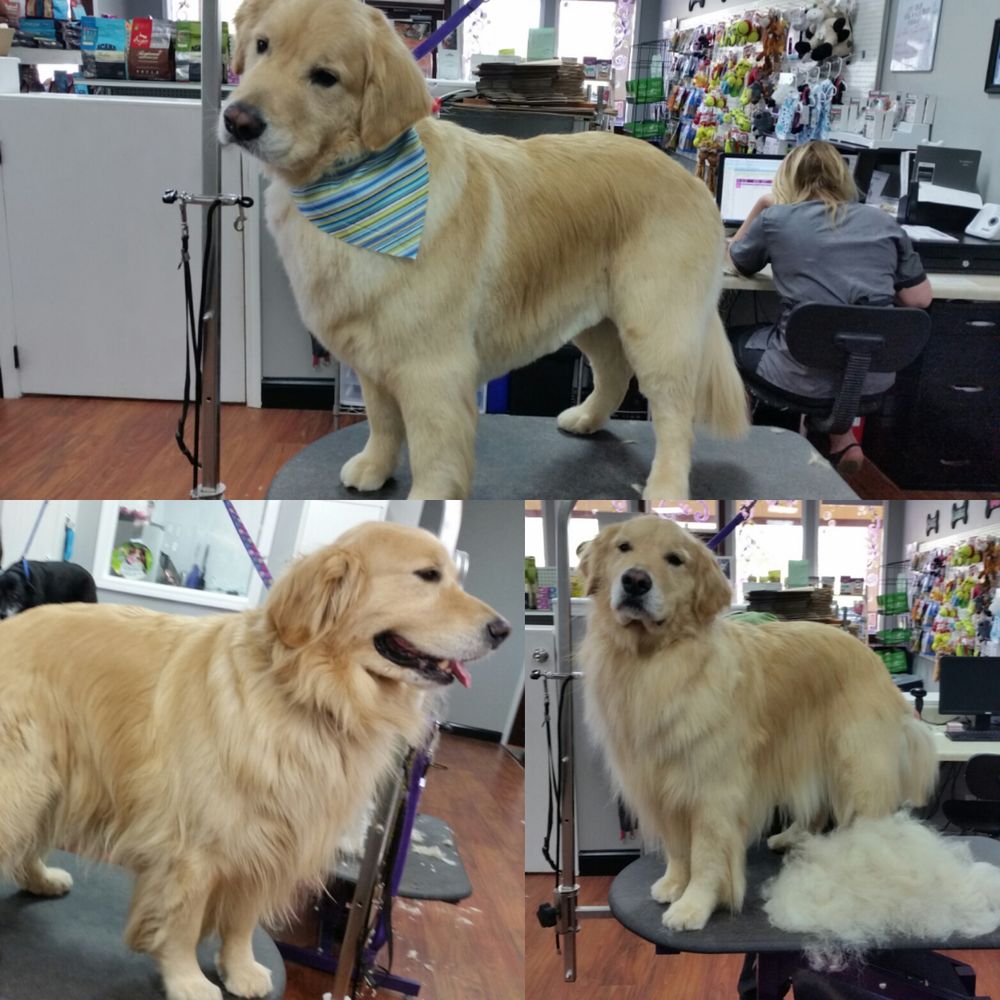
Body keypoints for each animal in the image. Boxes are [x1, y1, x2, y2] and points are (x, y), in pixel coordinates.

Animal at [0, 522, 510, 1000]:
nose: (503, 631)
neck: (308, 690)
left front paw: (239, 969)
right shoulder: (194, 846)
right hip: (23, 783)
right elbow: (183, 922)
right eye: (427, 576)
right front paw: (187, 980)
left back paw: (41, 879)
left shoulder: (271, 841)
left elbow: (242, 920)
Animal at [219, 0, 748, 500]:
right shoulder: (372, 352)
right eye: (262, 46)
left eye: (325, 77)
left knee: (675, 414)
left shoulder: (433, 369)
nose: (237, 120)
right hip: (594, 316)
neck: (353, 178)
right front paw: (374, 467)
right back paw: (586, 418)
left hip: (657, 327)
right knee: (613, 372)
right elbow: (381, 418)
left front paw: (426, 503)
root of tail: (691, 179)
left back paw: (667, 490)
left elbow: (432, 450)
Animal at [578, 516, 937, 932]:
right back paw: (792, 837)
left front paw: (693, 905)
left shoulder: (711, 791)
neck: (654, 659)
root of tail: (872, 657)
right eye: (623, 547)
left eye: (675, 560)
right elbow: (678, 848)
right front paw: (673, 884)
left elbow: (706, 855)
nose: (636, 581)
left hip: (856, 761)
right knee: (815, 808)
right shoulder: (660, 784)